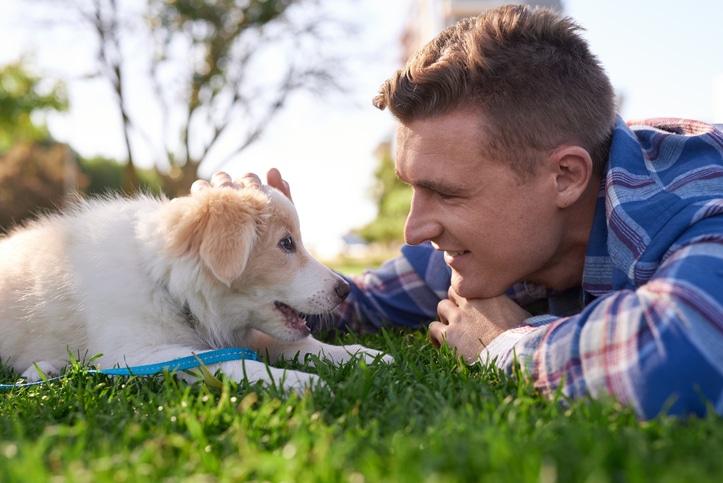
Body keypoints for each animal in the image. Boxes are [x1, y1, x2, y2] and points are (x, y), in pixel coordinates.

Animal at [0, 175, 390, 394]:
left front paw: (362, 355)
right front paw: (298, 382)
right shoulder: (133, 353)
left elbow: (304, 343)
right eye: (286, 243)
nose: (345, 289)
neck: (165, 282)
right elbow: (228, 363)